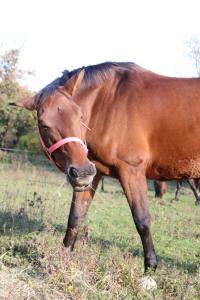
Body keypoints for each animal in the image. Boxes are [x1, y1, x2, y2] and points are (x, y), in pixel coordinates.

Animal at [13, 62, 200, 272]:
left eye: (80, 116)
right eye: (43, 124)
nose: (81, 172)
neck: (109, 103)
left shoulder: (131, 171)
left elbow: (142, 220)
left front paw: (150, 268)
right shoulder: (92, 175)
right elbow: (75, 217)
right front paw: (63, 259)